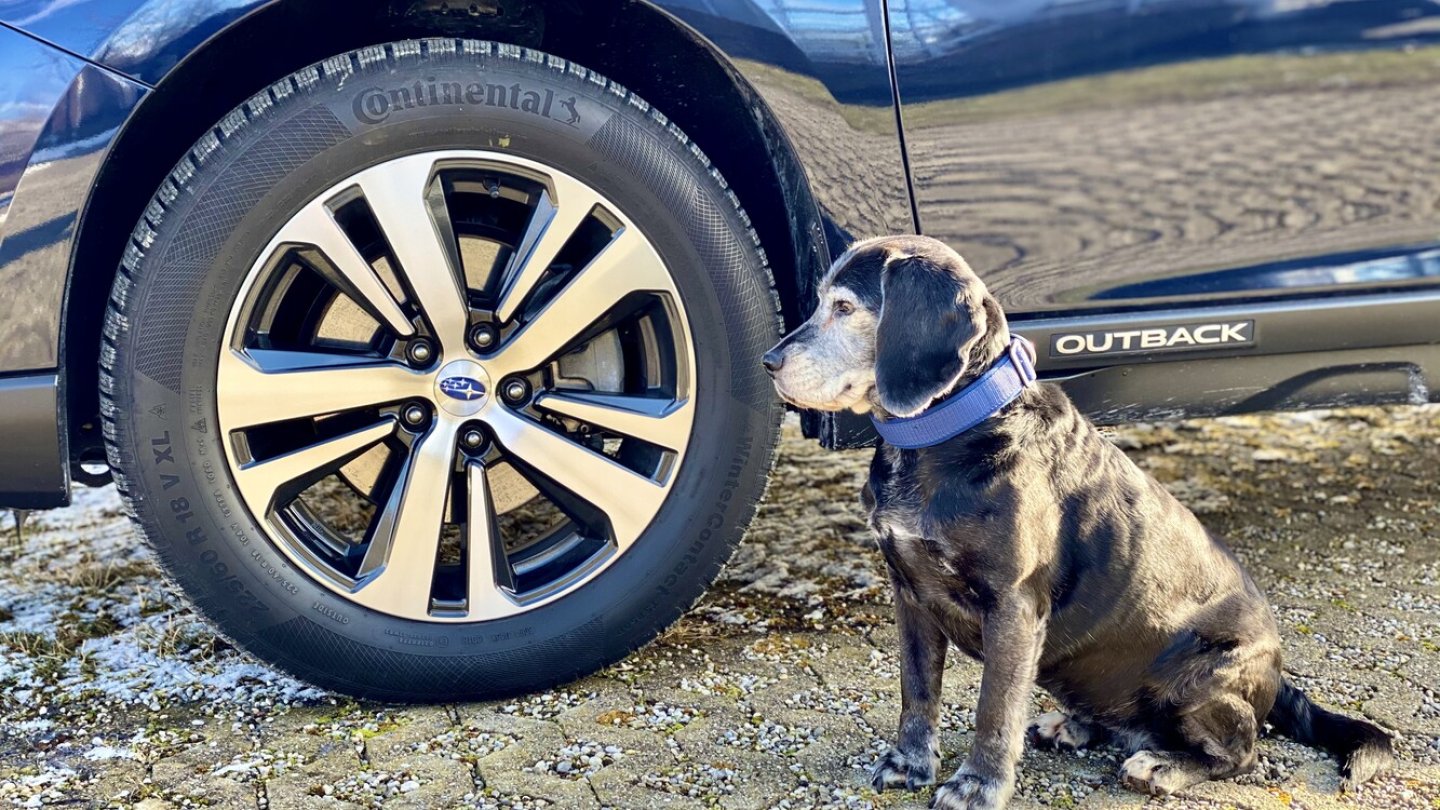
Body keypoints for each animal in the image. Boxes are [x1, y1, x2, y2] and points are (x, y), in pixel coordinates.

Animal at [766, 234, 1393, 807]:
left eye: (845, 307)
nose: (768, 362)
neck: (946, 434)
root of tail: (1277, 676)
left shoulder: (1013, 607)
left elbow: (993, 710)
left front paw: (977, 786)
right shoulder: (911, 593)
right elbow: (917, 692)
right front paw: (910, 763)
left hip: (1196, 679)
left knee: (1242, 752)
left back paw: (1162, 766)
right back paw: (1071, 726)